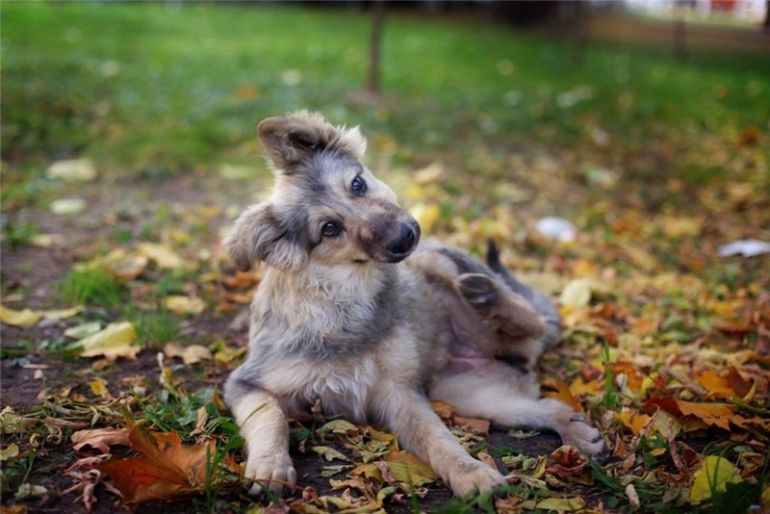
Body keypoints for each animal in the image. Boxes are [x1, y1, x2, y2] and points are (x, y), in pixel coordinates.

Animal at [219, 111, 604, 496]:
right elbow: (270, 417)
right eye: (329, 228)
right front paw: (270, 465)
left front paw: (470, 472)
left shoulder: (400, 391)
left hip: (436, 260)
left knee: (531, 318)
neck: (342, 298)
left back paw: (487, 296)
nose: (404, 237)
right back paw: (574, 428)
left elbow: (438, 438)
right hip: (473, 395)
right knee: (547, 402)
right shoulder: (246, 383)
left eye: (357, 184)